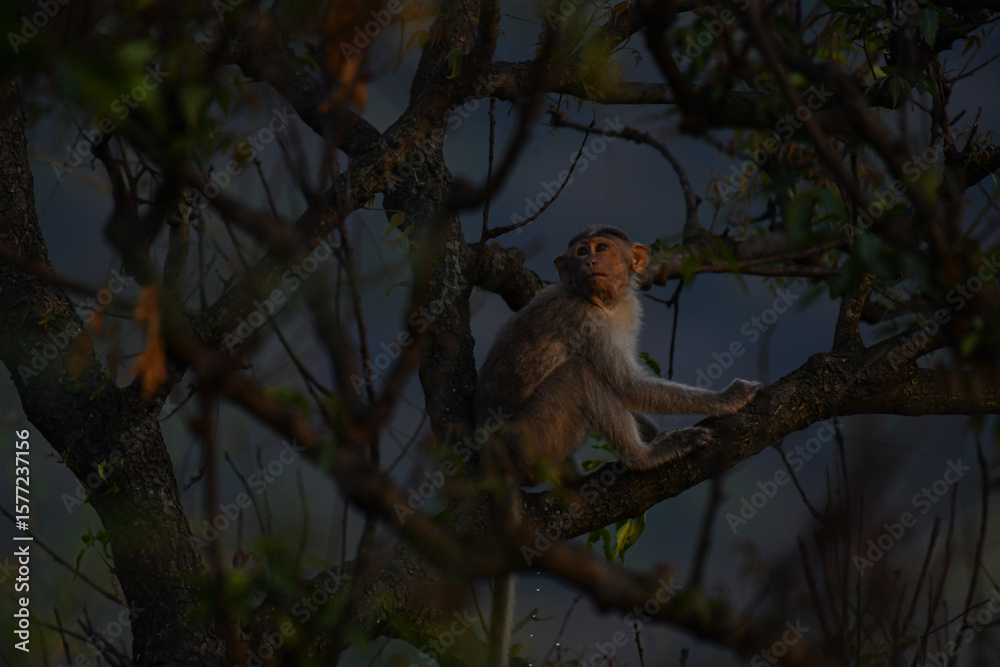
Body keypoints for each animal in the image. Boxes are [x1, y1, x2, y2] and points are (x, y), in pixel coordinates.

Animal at [475, 226, 761, 666]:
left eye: (602, 248)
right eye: (581, 251)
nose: (590, 261)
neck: (599, 301)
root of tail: (495, 455)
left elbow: (628, 391)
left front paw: (652, 430)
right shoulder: (586, 322)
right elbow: (626, 386)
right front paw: (724, 400)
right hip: (530, 436)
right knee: (579, 374)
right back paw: (642, 458)